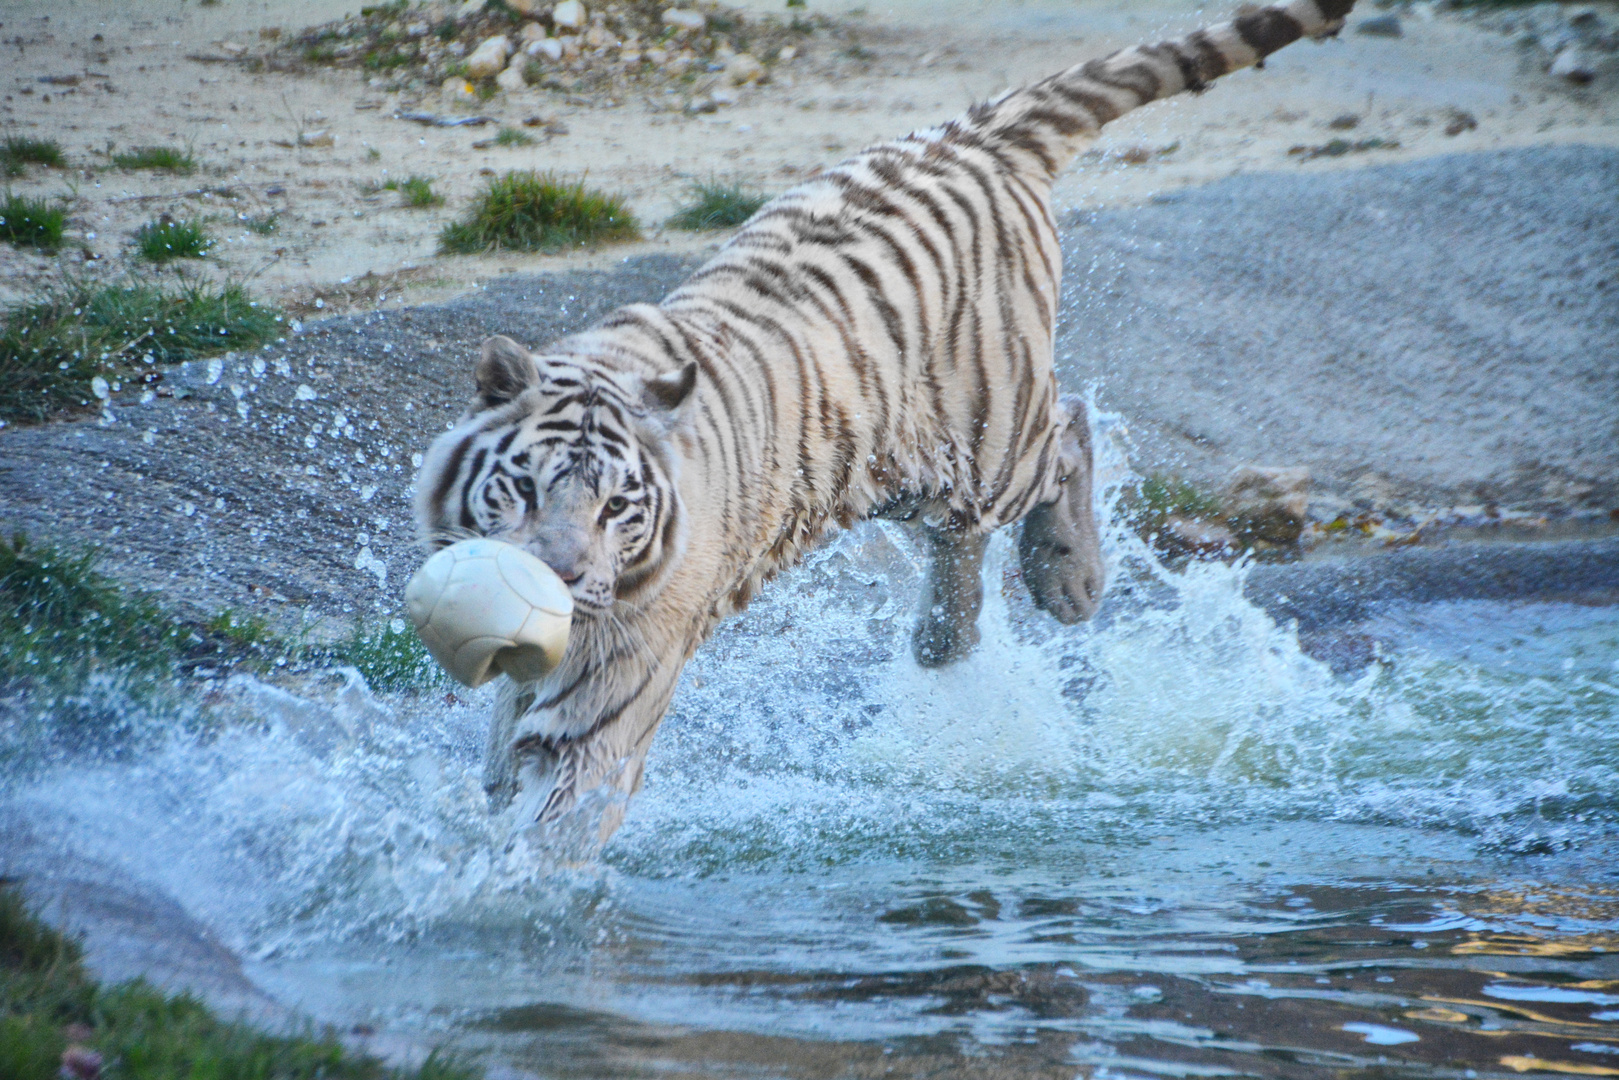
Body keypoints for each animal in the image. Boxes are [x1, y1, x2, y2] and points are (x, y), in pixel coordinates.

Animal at [414, 0, 1353, 835]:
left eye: (617, 507)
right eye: (523, 489)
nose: (558, 579)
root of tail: (977, 130)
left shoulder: (605, 704)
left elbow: (544, 835)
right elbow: (502, 765)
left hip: (987, 437)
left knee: (1069, 427)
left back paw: (1067, 578)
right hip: (900, 468)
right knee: (965, 538)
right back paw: (944, 639)